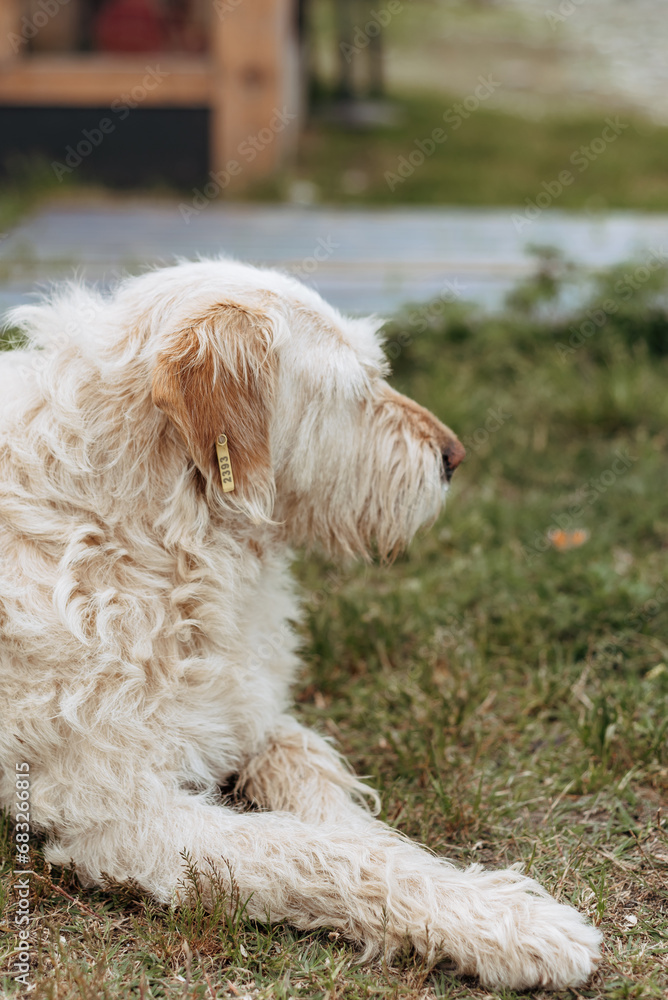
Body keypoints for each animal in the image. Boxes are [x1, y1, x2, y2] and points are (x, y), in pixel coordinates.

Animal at [0, 260, 600, 992]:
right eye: (354, 389)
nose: (454, 457)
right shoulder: (116, 812)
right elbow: (305, 848)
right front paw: (513, 925)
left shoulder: (250, 715)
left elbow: (333, 807)